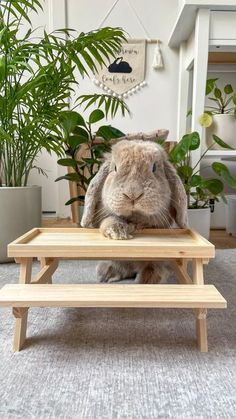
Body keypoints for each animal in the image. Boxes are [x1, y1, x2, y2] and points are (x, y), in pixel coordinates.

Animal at [80, 139, 187, 284]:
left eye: (154, 168)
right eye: (115, 168)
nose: (132, 194)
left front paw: (138, 226)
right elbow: (109, 221)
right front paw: (119, 232)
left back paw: (147, 279)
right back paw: (107, 273)